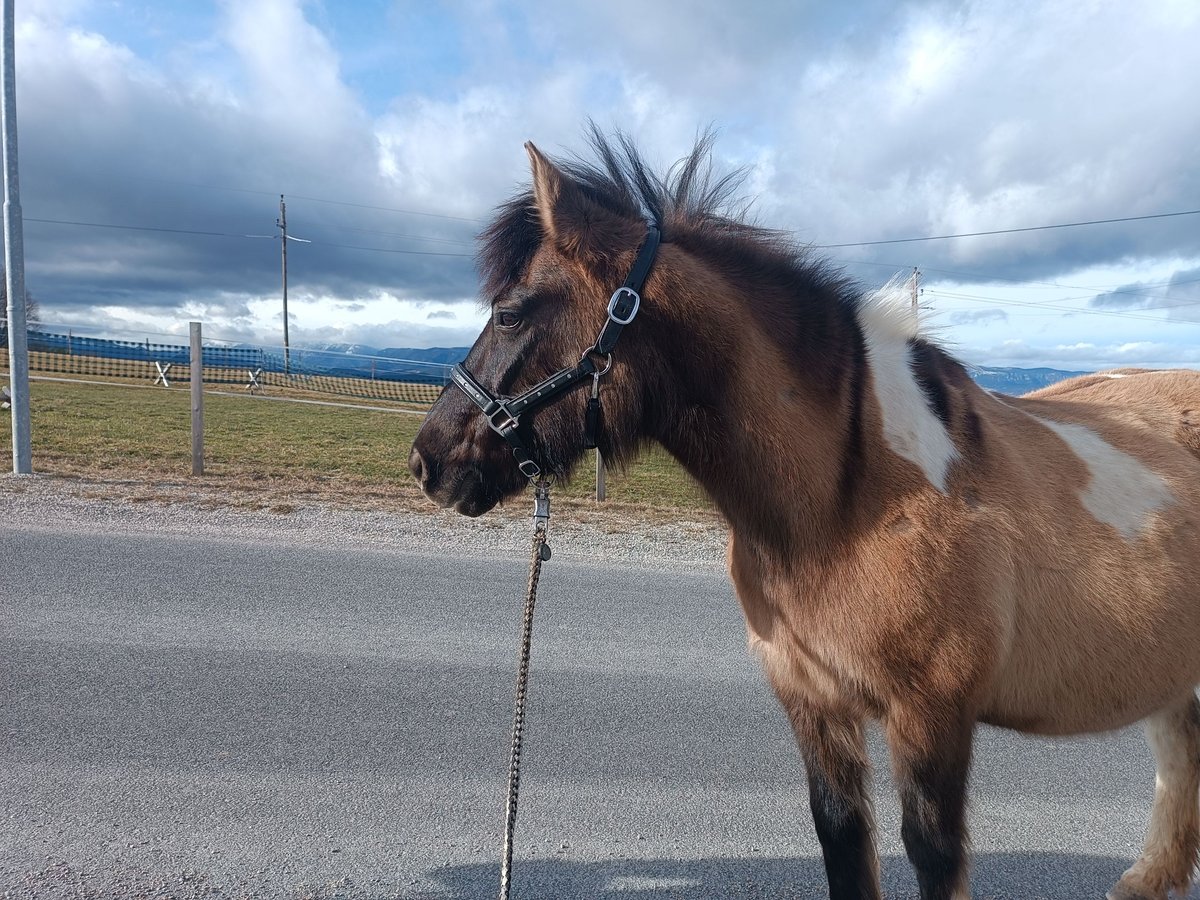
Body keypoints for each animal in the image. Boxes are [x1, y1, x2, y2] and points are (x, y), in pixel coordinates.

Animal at [410, 128, 1200, 900]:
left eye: (510, 312)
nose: (427, 461)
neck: (847, 500)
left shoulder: (933, 717)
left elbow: (932, 855)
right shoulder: (811, 700)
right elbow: (842, 837)